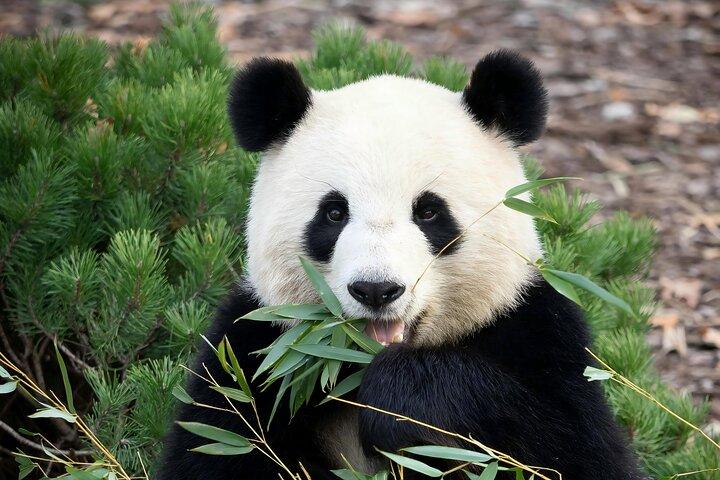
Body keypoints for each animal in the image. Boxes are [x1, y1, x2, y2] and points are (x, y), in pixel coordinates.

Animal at [157, 51, 644, 479]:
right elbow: (216, 447)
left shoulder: (535, 329)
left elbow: (573, 449)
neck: (353, 365)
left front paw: (399, 400)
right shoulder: (254, 352)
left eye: (428, 212)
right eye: (333, 213)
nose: (376, 289)